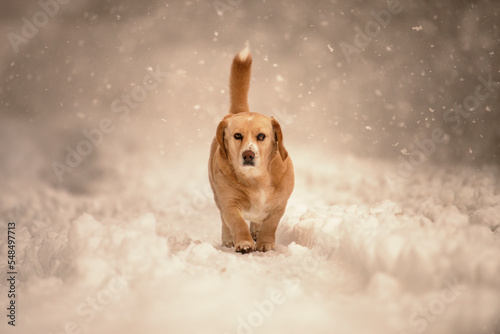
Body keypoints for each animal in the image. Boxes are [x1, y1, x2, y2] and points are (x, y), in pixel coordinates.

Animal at [207, 45, 292, 253]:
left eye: (261, 136)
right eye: (237, 136)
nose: (248, 154)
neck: (257, 179)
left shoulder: (280, 205)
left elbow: (270, 224)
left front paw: (265, 243)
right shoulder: (229, 203)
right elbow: (237, 223)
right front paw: (244, 242)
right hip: (217, 197)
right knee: (225, 222)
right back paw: (230, 239)